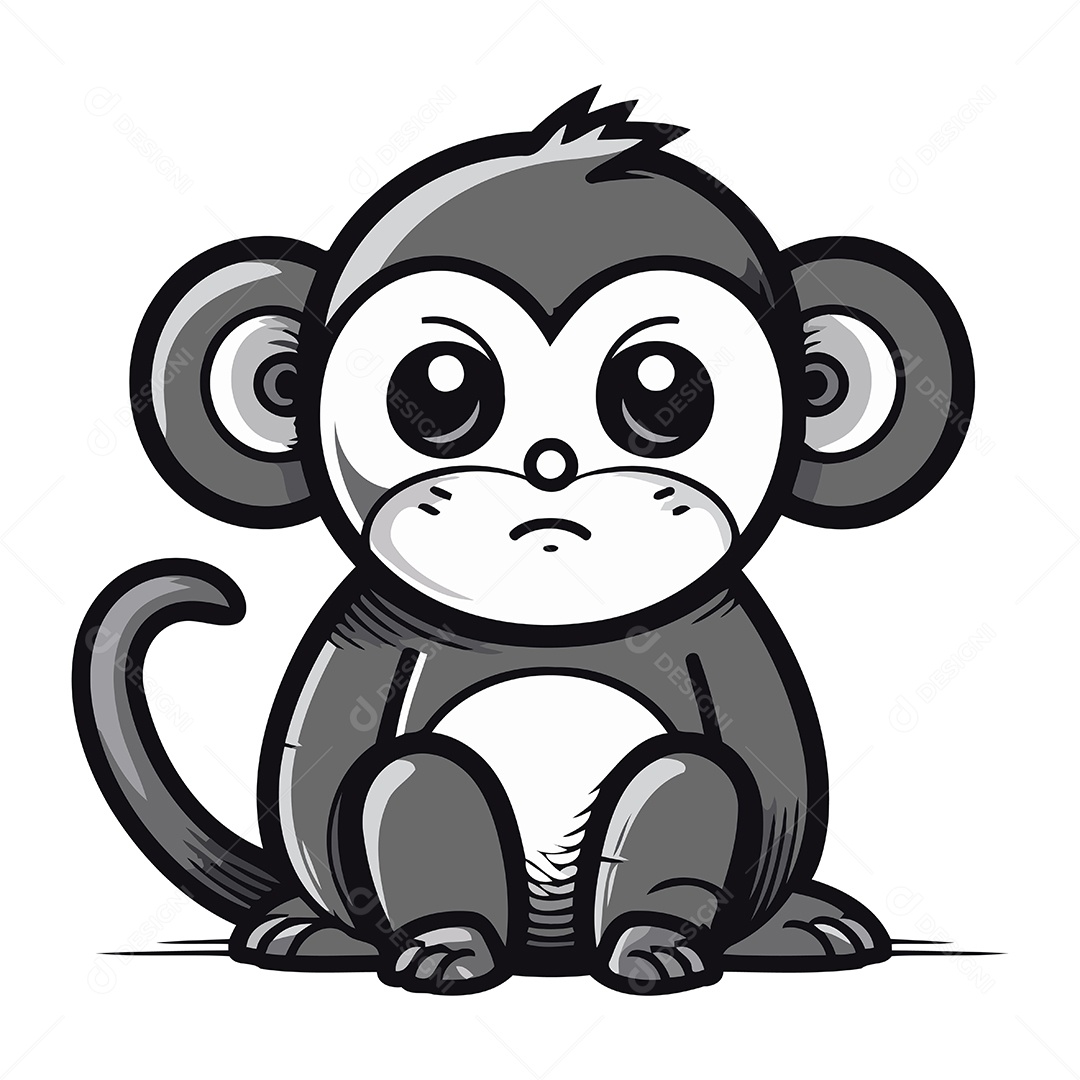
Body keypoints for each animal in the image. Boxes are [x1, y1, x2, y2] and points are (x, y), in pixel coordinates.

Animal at [73, 88, 974, 995]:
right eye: (440, 384)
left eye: (661, 384)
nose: (551, 464)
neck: (549, 625)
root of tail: (549, 954)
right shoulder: (371, 632)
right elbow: (321, 782)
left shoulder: (723, 638)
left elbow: (768, 781)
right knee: (416, 774)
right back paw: (415, 940)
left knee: (691, 775)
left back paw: (676, 941)